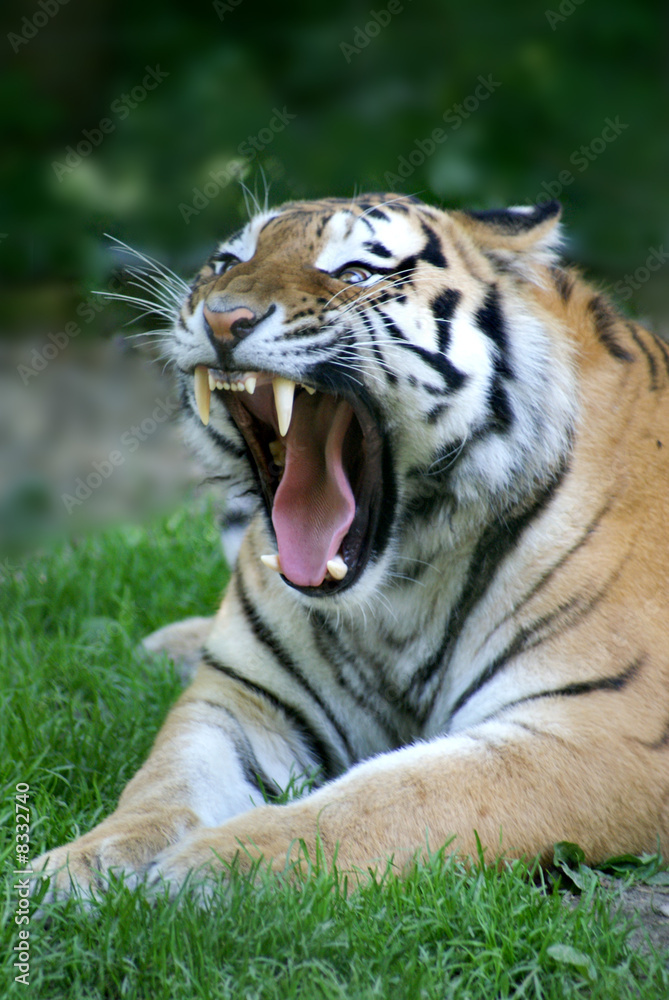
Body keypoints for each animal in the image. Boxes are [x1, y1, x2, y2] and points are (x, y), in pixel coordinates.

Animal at [36, 192, 669, 899]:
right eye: (226, 263)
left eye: (356, 273)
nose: (223, 318)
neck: (399, 584)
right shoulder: (244, 699)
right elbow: (162, 784)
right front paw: (75, 869)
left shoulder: (597, 726)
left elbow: (392, 796)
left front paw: (208, 871)